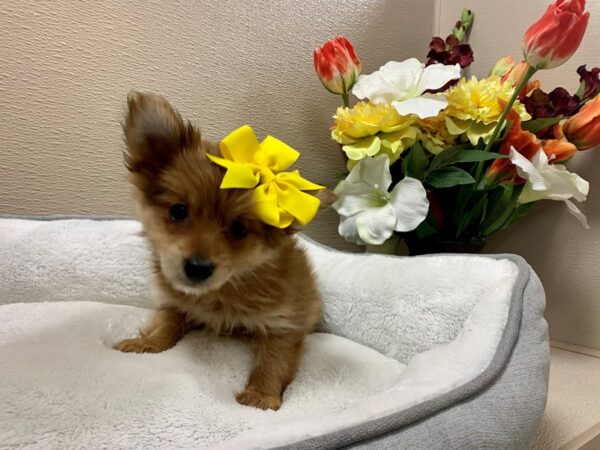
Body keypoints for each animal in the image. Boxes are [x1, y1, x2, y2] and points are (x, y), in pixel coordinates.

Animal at [116, 92, 324, 412]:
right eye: (179, 211)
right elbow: (165, 325)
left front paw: (261, 397)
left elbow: (273, 362)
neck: (220, 294)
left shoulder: (285, 323)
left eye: (239, 229)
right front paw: (146, 344)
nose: (197, 267)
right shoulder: (173, 304)